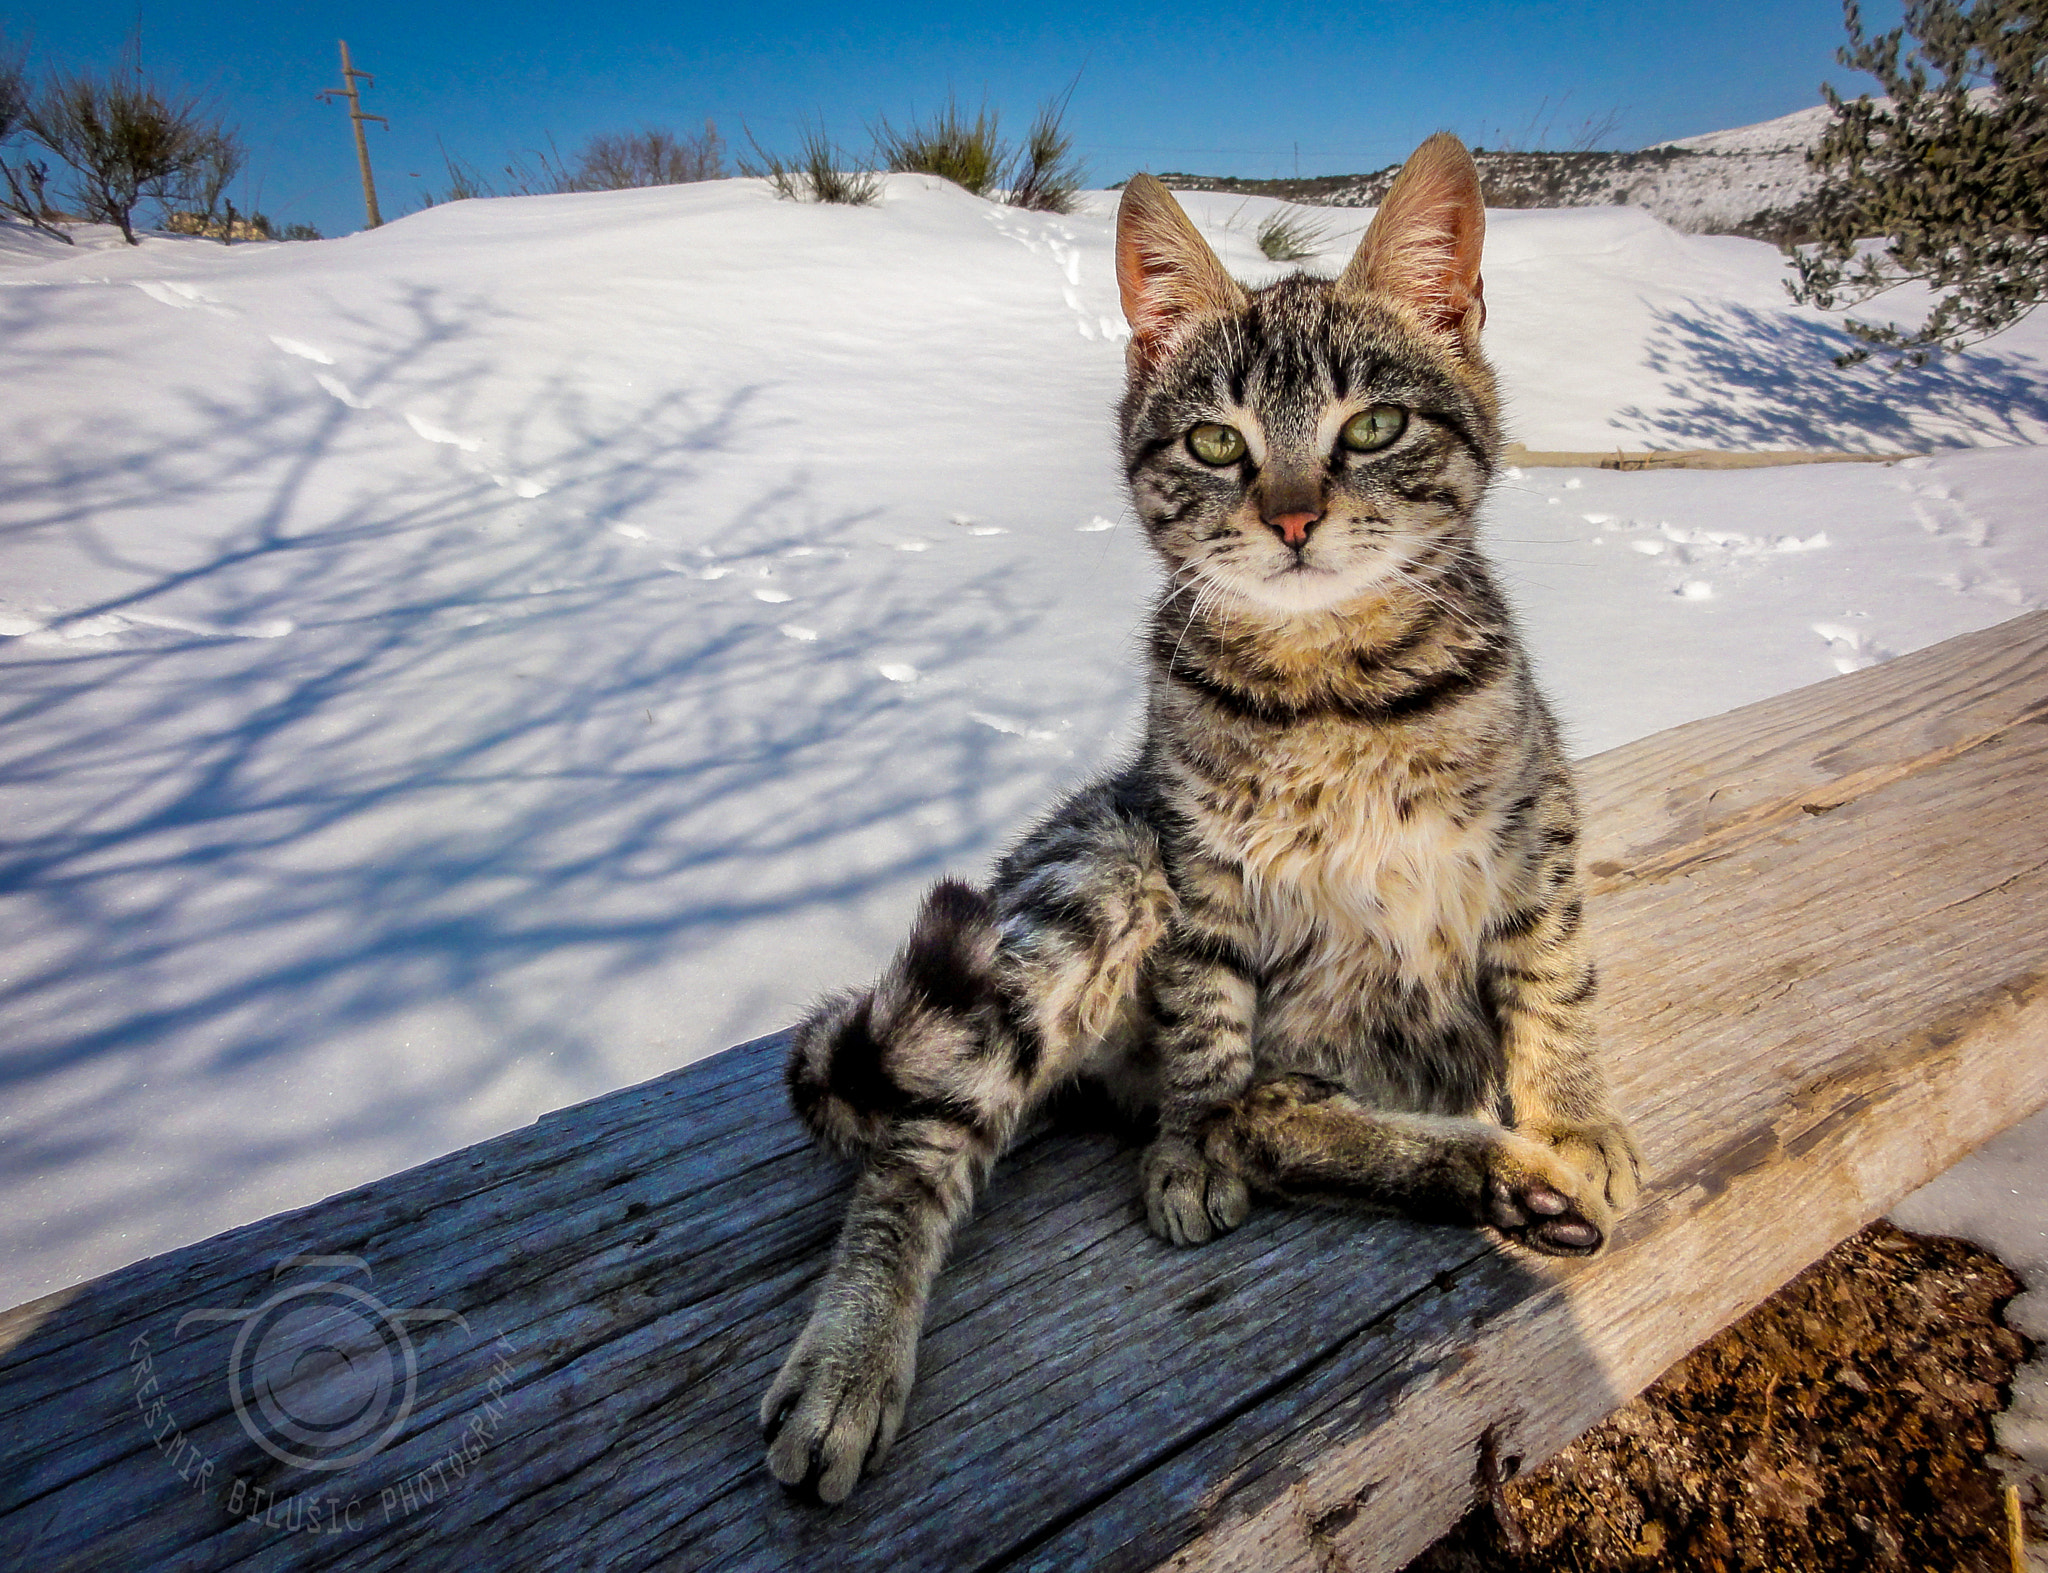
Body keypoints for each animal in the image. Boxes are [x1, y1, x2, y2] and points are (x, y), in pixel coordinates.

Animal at [761, 132, 1638, 1499]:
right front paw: (1189, 1145)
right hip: (1090, 880)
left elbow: (1552, 981)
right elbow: (1206, 1027)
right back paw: (849, 1357)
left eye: (1372, 426)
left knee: (1284, 1116)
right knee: (918, 1147)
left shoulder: (1532, 825)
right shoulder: (1192, 864)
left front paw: (1572, 1116)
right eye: (1217, 445)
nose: (1289, 516)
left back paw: (1493, 1173)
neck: (1333, 682)